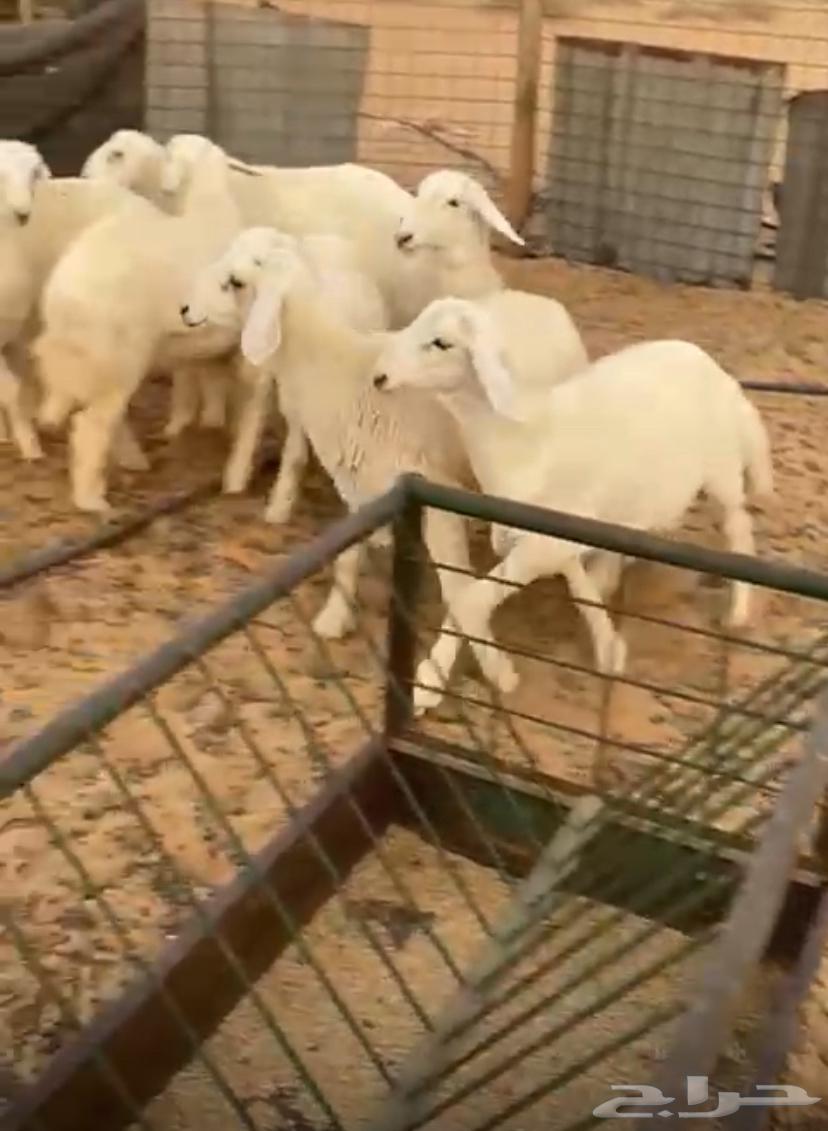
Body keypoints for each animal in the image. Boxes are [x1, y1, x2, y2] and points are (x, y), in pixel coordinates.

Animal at [32, 134, 245, 513]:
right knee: (90, 425)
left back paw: (130, 461)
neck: (209, 210)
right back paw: (92, 499)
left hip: (100, 358)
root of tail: (62, 296)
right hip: (120, 354)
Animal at [372, 324, 775, 715]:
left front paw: (431, 680)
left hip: (722, 472)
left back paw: (738, 610)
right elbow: (579, 589)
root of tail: (714, 367)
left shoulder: (545, 541)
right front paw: (608, 645)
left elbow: (470, 599)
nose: (379, 376)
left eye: (442, 342)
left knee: (739, 529)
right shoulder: (553, 537)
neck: (521, 439)